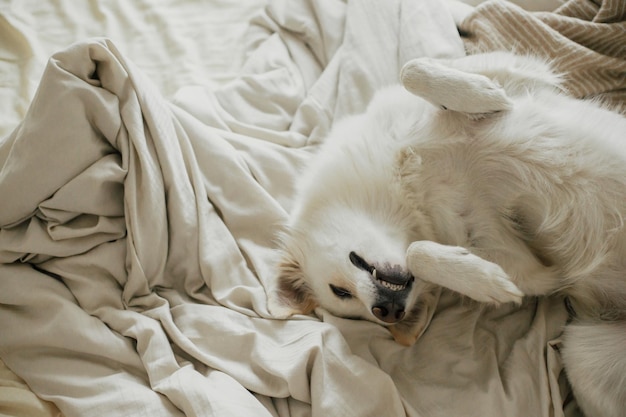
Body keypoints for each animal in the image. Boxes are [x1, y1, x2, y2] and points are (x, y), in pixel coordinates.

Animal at [266, 52, 624, 416]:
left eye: (338, 291)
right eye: (346, 298)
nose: (387, 311)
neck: (406, 187)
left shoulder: (524, 73)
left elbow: (412, 69)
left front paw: (483, 95)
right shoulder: (533, 267)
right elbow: (423, 252)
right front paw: (481, 278)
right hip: (580, 353)